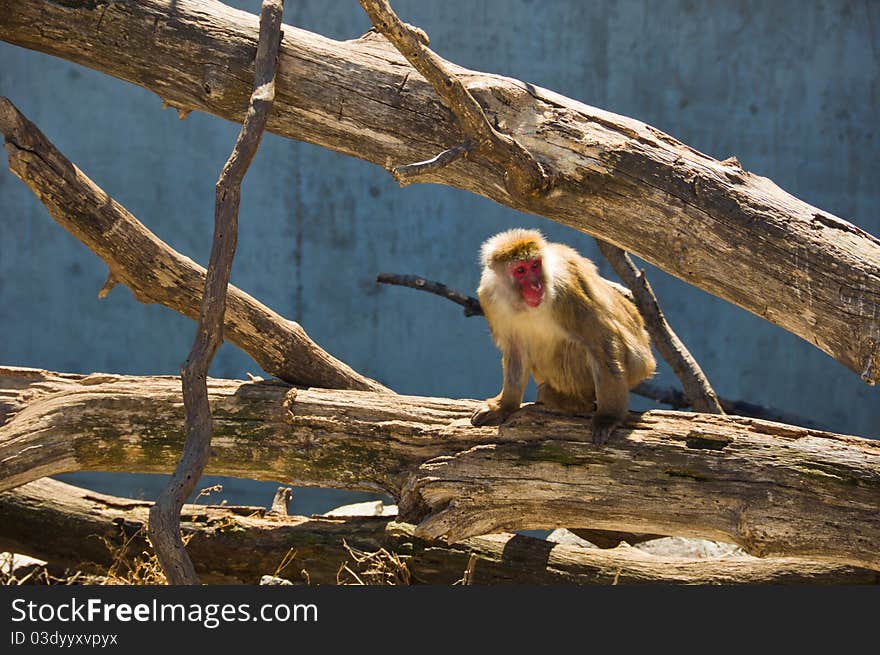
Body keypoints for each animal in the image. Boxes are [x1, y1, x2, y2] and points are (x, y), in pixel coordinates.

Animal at [474, 228, 652, 444]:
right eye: (520, 270)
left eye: (535, 266)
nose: (536, 287)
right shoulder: (489, 297)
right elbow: (515, 351)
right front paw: (504, 407)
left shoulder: (567, 290)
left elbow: (601, 340)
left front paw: (608, 417)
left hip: (634, 366)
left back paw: (573, 402)